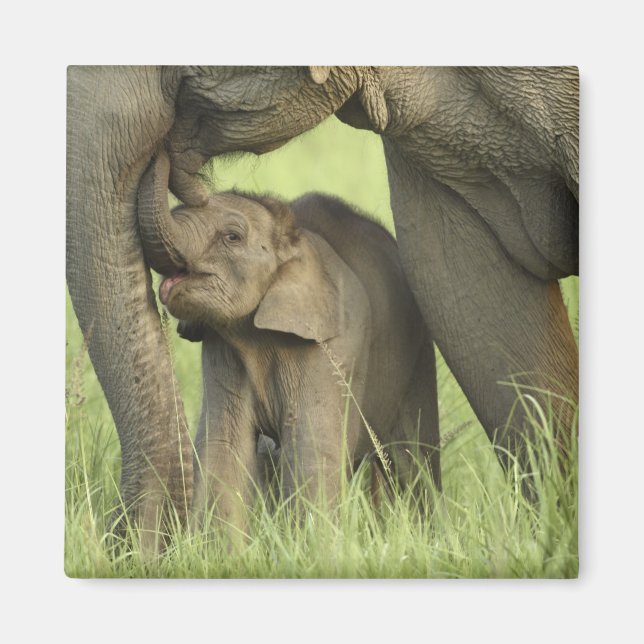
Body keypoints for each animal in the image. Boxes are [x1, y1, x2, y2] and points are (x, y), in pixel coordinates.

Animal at [137, 150, 441, 536]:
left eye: (232, 237)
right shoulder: (222, 347)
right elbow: (225, 445)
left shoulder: (330, 348)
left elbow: (309, 445)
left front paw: (314, 543)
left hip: (418, 355)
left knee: (413, 461)